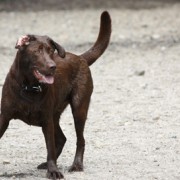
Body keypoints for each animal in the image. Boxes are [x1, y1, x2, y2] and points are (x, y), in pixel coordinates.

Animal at [0, 10, 111, 179]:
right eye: (37, 51)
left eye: (51, 51)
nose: (53, 66)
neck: (29, 87)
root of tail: (80, 58)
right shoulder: (4, 117)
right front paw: (51, 167)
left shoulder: (46, 120)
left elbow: (50, 148)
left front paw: (53, 170)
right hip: (55, 114)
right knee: (62, 138)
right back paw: (46, 164)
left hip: (79, 108)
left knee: (80, 140)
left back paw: (76, 165)